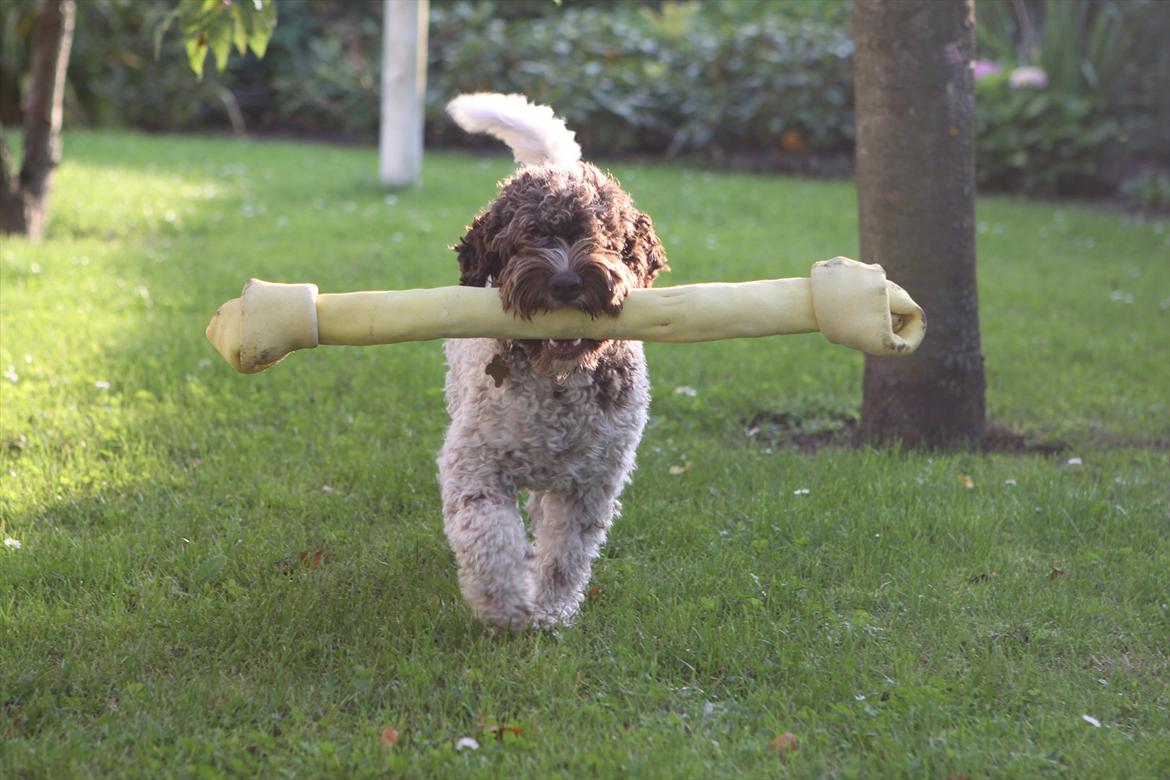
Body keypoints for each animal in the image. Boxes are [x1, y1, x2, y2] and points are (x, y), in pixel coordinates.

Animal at [437, 94, 669, 631]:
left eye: (606, 238)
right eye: (531, 235)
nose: (566, 282)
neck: (557, 381)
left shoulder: (591, 483)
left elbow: (566, 554)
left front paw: (550, 611)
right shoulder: (475, 464)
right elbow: (489, 535)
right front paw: (504, 605)